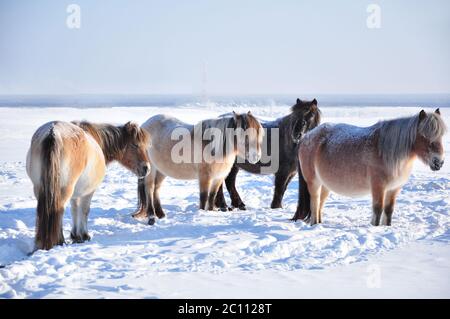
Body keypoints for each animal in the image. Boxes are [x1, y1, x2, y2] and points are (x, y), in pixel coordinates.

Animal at [25, 120, 149, 250]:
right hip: (64, 190)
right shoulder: (89, 191)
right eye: (135, 145)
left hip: (40, 188)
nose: (146, 168)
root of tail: (53, 133)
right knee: (58, 210)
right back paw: (59, 241)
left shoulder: (75, 194)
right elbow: (84, 210)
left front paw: (75, 235)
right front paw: (84, 235)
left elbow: (75, 209)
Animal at [133, 112, 264, 225]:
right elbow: (204, 197)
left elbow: (212, 196)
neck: (213, 147)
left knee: (156, 189)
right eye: (245, 136)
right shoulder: (205, 177)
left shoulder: (218, 178)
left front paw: (211, 212)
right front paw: (202, 213)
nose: (256, 157)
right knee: (149, 189)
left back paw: (161, 215)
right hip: (151, 169)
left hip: (161, 171)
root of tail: (145, 125)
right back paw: (151, 216)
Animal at [292, 110, 446, 228]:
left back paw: (319, 224)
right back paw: (314, 224)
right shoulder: (378, 186)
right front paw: (375, 227)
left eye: (441, 135)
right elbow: (378, 209)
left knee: (320, 204)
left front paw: (386, 227)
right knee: (314, 202)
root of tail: (305, 137)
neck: (387, 152)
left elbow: (389, 210)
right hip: (314, 182)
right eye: (424, 136)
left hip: (326, 185)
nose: (439, 162)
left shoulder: (394, 188)